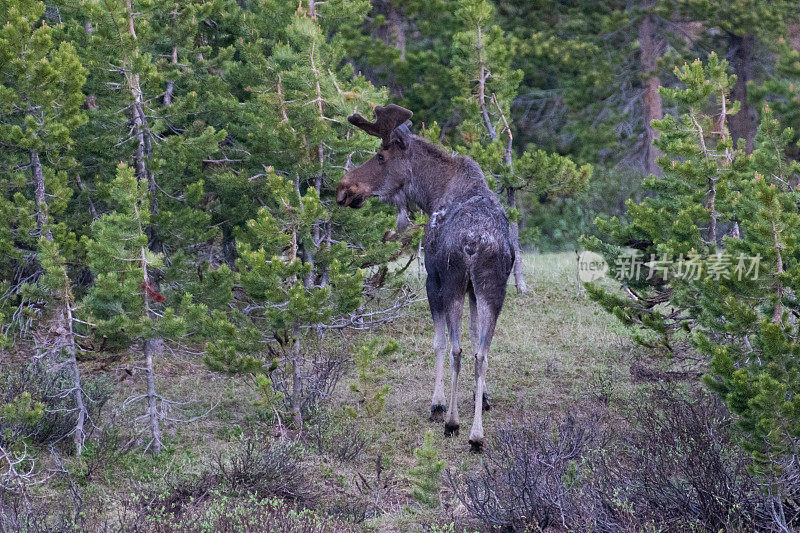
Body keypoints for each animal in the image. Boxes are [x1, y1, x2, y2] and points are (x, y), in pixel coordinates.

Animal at [336, 103, 512, 448]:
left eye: (381, 156)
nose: (344, 189)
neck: (431, 194)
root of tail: (476, 242)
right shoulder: (474, 291)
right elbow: (475, 338)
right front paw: (482, 397)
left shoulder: (434, 279)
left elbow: (439, 343)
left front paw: (438, 403)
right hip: (493, 289)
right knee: (481, 353)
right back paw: (477, 432)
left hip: (453, 283)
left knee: (456, 349)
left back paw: (454, 423)